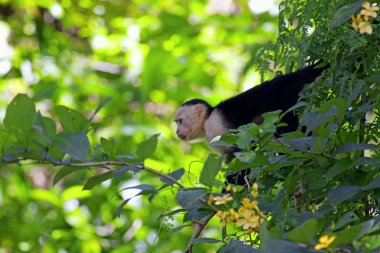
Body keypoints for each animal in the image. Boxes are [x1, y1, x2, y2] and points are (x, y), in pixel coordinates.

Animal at [175, 64, 326, 184]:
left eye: (180, 121)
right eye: (177, 123)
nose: (177, 131)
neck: (206, 121)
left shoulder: (216, 124)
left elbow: (244, 149)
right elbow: (232, 157)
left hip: (294, 89)